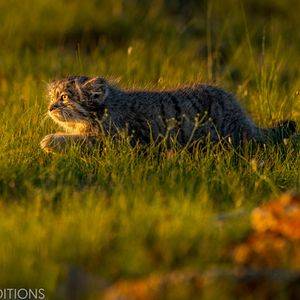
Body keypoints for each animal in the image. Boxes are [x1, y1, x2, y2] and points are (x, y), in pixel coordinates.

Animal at [41, 76, 296, 154]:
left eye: (65, 97)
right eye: (52, 97)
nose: (50, 107)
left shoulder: (123, 141)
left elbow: (84, 141)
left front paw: (52, 141)